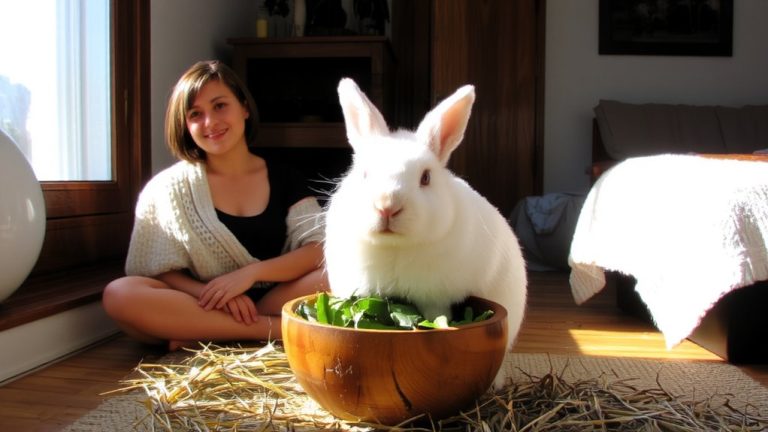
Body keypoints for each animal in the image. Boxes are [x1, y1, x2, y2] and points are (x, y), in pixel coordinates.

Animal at [323, 78, 527, 389]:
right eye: (364, 174)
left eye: (426, 178)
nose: (387, 206)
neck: (396, 247)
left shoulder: (435, 300)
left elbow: (435, 316)